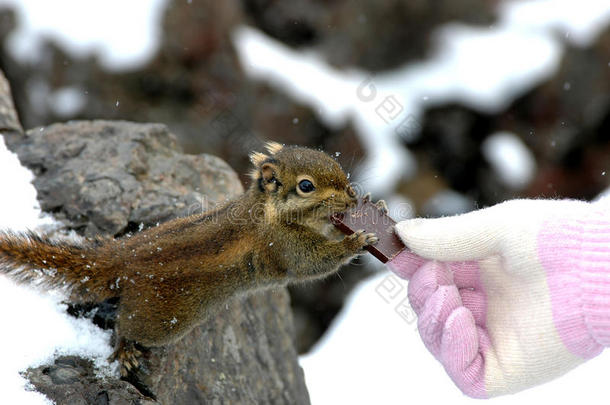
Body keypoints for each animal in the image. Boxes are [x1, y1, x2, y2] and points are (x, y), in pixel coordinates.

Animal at [0, 142, 380, 376]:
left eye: (335, 164)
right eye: (306, 186)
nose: (351, 197)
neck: (268, 210)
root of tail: (122, 258)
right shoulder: (284, 246)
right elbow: (314, 262)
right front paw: (356, 241)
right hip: (160, 322)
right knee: (126, 325)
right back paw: (125, 350)